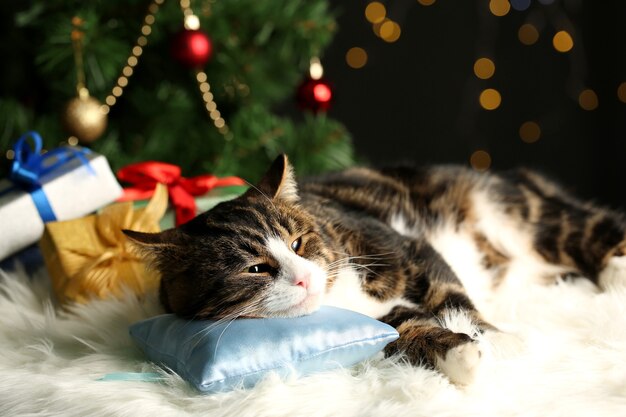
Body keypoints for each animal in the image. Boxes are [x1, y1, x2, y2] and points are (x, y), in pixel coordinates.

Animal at [124, 154, 624, 386]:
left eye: (298, 242)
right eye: (255, 267)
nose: (305, 275)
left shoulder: (404, 247)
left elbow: (451, 294)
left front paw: (500, 340)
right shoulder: (378, 322)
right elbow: (404, 332)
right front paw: (461, 354)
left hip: (523, 214)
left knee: (591, 229)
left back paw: (615, 272)